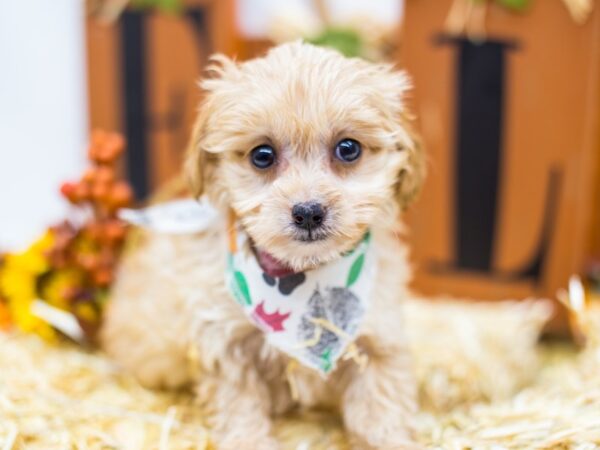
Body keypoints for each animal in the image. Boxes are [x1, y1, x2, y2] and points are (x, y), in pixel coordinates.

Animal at [102, 40, 422, 448]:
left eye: (348, 149)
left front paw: (390, 438)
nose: (308, 212)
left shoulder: (378, 338)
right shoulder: (225, 346)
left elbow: (381, 408)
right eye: (262, 155)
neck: (303, 278)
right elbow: (240, 411)